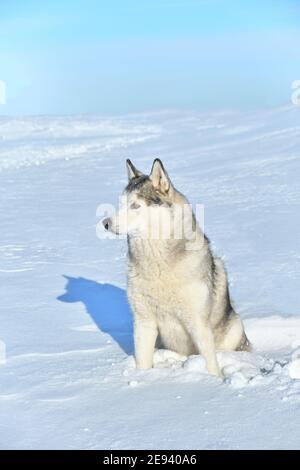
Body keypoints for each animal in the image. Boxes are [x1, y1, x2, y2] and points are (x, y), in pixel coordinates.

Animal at [103, 160, 251, 376]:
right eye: (121, 204)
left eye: (135, 205)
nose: (105, 223)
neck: (157, 263)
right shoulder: (143, 321)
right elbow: (143, 362)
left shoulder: (198, 323)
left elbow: (211, 364)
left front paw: (216, 380)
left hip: (234, 328)